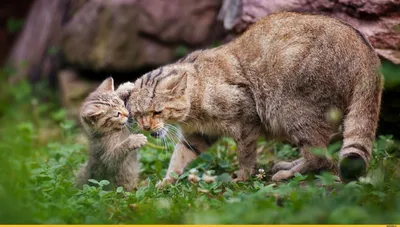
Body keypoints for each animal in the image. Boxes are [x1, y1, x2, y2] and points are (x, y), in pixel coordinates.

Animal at [123, 12, 382, 185]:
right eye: (138, 114)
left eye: (157, 111)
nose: (146, 127)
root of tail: (368, 53)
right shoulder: (199, 134)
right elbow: (179, 157)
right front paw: (167, 181)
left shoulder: (246, 121)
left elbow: (245, 155)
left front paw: (243, 177)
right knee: (323, 154)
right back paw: (290, 165)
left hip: (293, 111)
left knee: (320, 156)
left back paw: (287, 172)